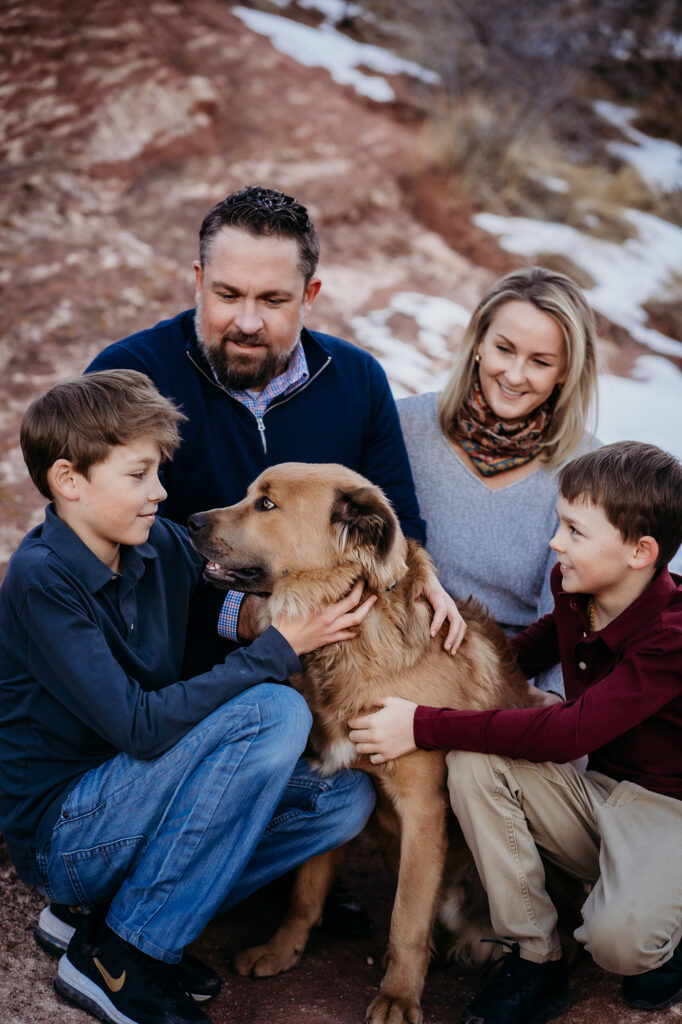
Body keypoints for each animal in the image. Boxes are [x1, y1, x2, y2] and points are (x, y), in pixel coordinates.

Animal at [187, 462, 536, 1024]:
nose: (189, 520)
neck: (353, 642)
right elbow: (306, 891)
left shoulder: (422, 808)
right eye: (249, 495)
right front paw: (282, 951)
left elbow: (406, 916)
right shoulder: (344, 776)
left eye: (266, 504)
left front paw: (398, 996)